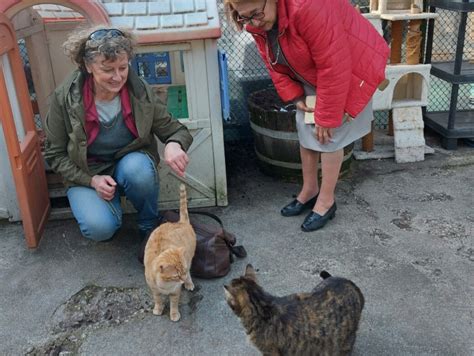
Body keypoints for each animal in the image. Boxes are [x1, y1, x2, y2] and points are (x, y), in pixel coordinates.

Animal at [144, 185, 196, 322]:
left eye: (182, 272)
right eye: (176, 275)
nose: (182, 280)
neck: (165, 285)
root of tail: (181, 222)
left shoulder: (175, 291)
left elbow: (174, 303)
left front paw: (174, 314)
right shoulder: (154, 290)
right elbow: (157, 299)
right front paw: (158, 308)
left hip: (189, 259)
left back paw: (189, 283)